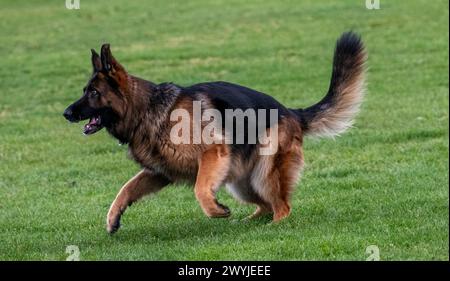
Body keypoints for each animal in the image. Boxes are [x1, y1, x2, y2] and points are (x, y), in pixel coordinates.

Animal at [63, 31, 366, 232]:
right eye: (85, 90)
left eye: (93, 93)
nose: (66, 113)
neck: (146, 108)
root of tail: (292, 112)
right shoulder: (159, 172)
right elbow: (126, 189)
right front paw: (113, 218)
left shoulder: (212, 152)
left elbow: (200, 188)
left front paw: (215, 210)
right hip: (242, 183)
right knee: (266, 206)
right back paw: (249, 222)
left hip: (263, 173)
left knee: (282, 207)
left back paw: (274, 226)